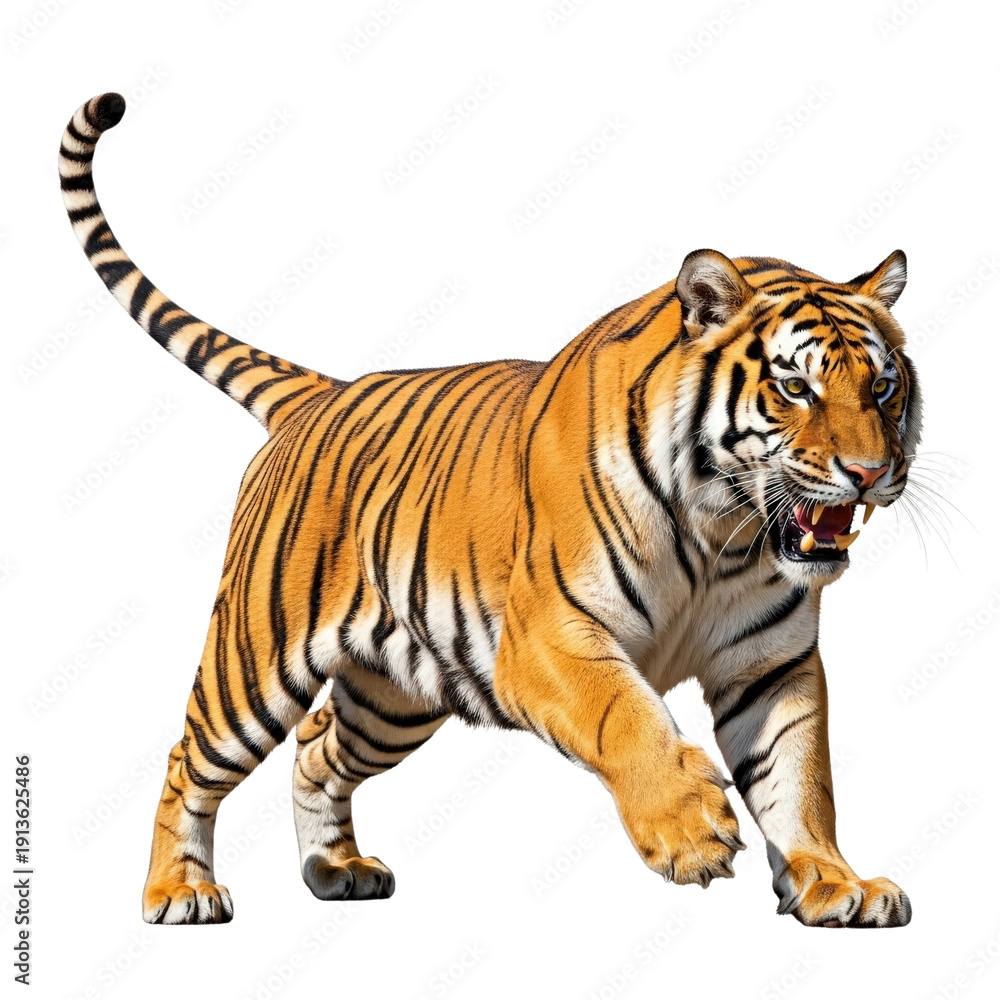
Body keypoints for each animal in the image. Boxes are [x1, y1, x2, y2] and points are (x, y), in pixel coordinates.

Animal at [60, 92, 917, 928]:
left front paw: (833, 882)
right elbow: (624, 717)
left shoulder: (771, 664)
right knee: (189, 762)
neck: (726, 532)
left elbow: (799, 779)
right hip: (252, 661)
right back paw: (179, 891)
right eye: (796, 387)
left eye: (882, 386)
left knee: (316, 745)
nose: (870, 471)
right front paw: (690, 829)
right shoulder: (550, 638)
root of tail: (321, 395)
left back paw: (335, 870)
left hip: (394, 698)